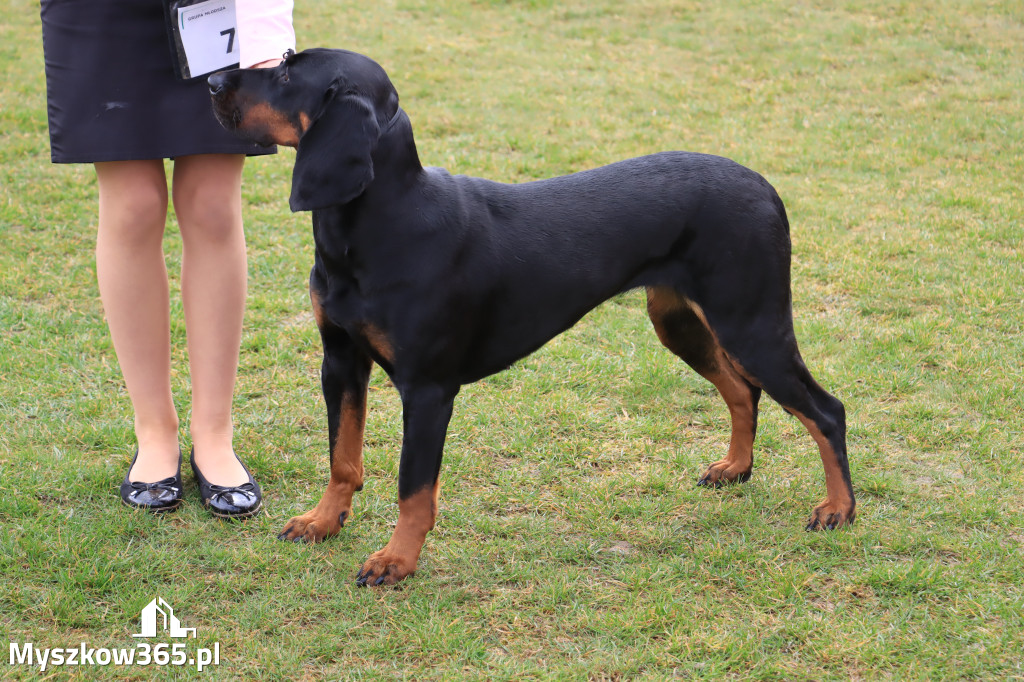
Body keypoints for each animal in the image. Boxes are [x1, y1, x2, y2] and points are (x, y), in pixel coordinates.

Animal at [209, 47, 856, 585]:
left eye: (287, 74)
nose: (212, 81)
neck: (380, 224)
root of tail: (765, 187)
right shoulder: (340, 361)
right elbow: (342, 457)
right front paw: (322, 522)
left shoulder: (428, 389)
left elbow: (414, 489)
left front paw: (396, 561)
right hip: (680, 322)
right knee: (743, 391)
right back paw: (736, 469)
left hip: (751, 324)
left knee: (824, 409)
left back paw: (838, 509)